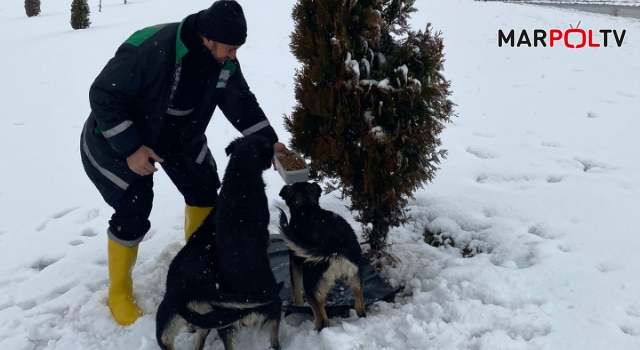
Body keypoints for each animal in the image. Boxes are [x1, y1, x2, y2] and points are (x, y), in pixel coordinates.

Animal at [278, 182, 364, 332]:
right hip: (356, 282)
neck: (306, 205)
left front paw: (297, 307)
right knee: (360, 309)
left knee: (323, 321)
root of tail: (336, 247)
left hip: (311, 286)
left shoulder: (294, 263)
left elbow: (296, 293)